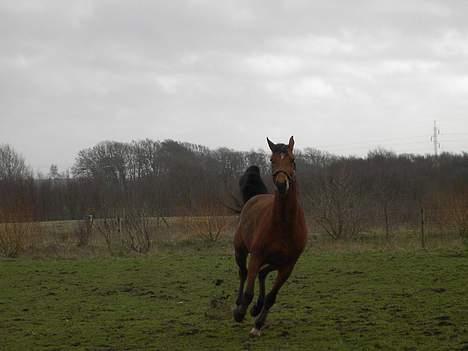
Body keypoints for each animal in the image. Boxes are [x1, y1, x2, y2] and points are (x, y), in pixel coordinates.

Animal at [233, 136, 308, 336]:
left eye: (292, 160)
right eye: (272, 160)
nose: (282, 184)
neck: (284, 225)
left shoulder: (288, 265)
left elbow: (272, 297)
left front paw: (258, 324)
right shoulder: (257, 256)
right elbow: (249, 291)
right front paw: (241, 313)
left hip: (275, 262)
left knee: (262, 273)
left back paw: (256, 308)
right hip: (240, 251)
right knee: (244, 273)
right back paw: (239, 305)